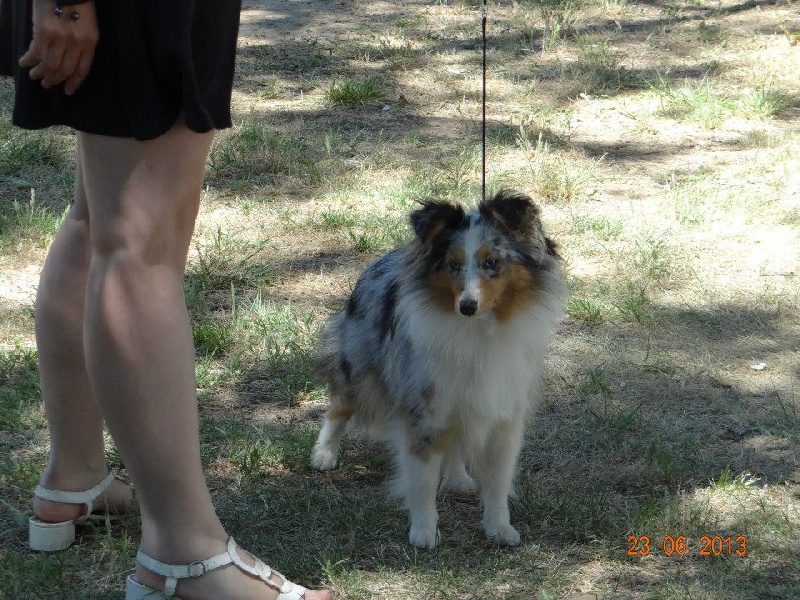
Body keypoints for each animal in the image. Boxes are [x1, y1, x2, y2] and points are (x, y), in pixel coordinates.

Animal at [310, 189, 564, 548]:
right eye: (452, 265)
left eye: (492, 262)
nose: (467, 306)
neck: (478, 331)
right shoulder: (424, 410)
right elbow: (423, 480)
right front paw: (424, 532)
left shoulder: (504, 413)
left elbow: (498, 480)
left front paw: (499, 528)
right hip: (357, 365)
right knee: (339, 406)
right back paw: (324, 455)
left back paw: (458, 477)